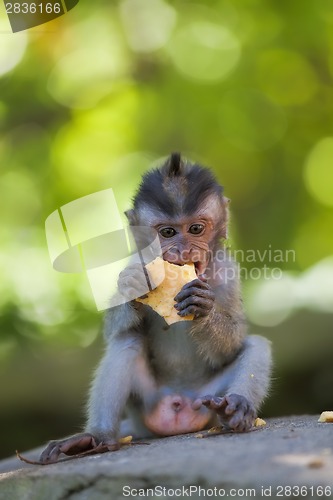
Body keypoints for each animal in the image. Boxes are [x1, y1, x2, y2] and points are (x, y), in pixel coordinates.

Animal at [40, 153, 272, 464]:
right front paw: (133, 289)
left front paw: (203, 307)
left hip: (205, 400)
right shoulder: (134, 263)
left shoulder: (228, 271)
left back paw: (235, 408)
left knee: (256, 345)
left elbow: (232, 343)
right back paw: (95, 437)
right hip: (145, 406)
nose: (184, 251)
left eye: (195, 229)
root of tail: (177, 404)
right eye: (168, 232)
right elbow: (114, 330)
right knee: (126, 341)